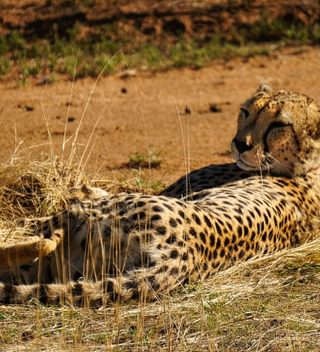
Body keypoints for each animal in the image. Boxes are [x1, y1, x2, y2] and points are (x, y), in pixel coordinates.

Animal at [0, 84, 320, 304]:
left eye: (279, 125)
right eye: (246, 112)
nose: (240, 144)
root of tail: (183, 256)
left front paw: (79, 188)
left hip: (83, 222)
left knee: (35, 238)